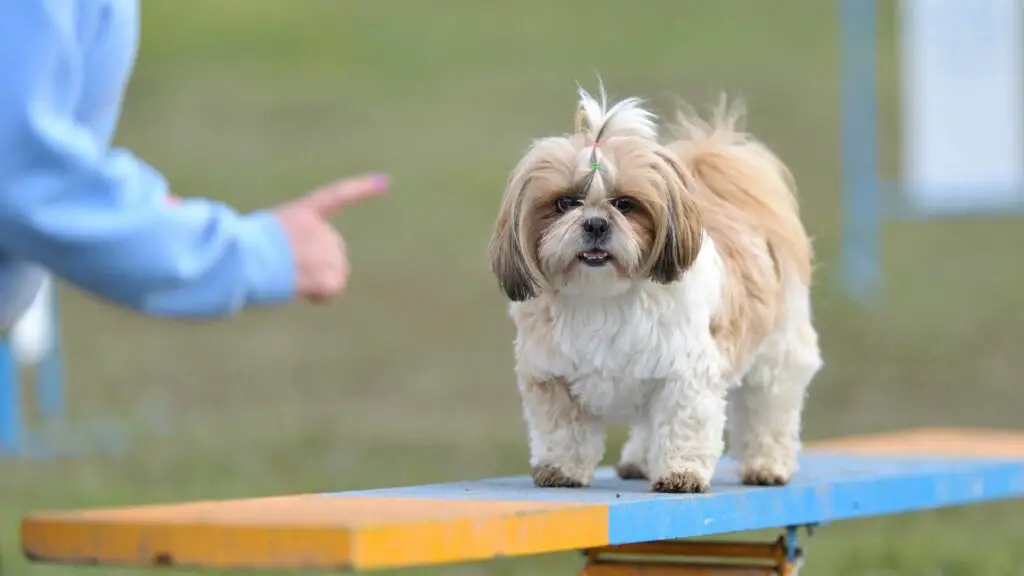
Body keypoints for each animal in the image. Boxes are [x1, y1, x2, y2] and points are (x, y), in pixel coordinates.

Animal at [487, 83, 823, 491]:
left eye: (625, 204)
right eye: (565, 202)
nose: (596, 223)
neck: (602, 296)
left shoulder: (685, 373)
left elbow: (684, 425)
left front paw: (681, 473)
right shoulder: (551, 375)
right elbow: (564, 431)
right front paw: (561, 469)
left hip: (778, 352)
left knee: (769, 409)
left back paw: (767, 465)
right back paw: (639, 460)